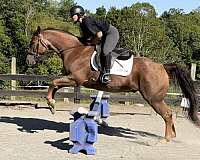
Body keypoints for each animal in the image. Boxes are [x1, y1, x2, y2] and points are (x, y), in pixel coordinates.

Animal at [26, 26, 200, 144]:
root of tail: (162, 66)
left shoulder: (75, 79)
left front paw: (51, 103)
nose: (28, 61)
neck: (74, 51)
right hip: (155, 98)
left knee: (167, 114)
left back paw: (166, 139)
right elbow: (55, 85)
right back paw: (172, 135)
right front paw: (51, 104)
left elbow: (53, 82)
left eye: (33, 42)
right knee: (169, 114)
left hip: (153, 98)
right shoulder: (72, 79)